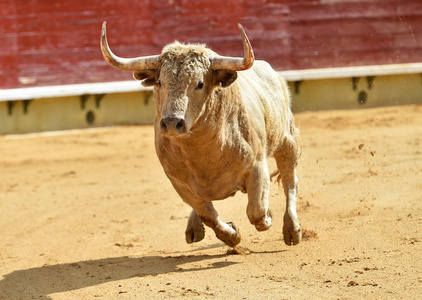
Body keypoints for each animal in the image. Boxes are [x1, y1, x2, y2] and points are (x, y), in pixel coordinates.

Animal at [100, 22, 302, 248]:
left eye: (200, 83)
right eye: (159, 82)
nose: (172, 122)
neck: (202, 153)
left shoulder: (257, 167)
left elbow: (257, 213)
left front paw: (268, 216)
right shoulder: (179, 183)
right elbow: (208, 215)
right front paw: (232, 235)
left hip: (287, 141)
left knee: (290, 181)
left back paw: (292, 230)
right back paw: (194, 228)